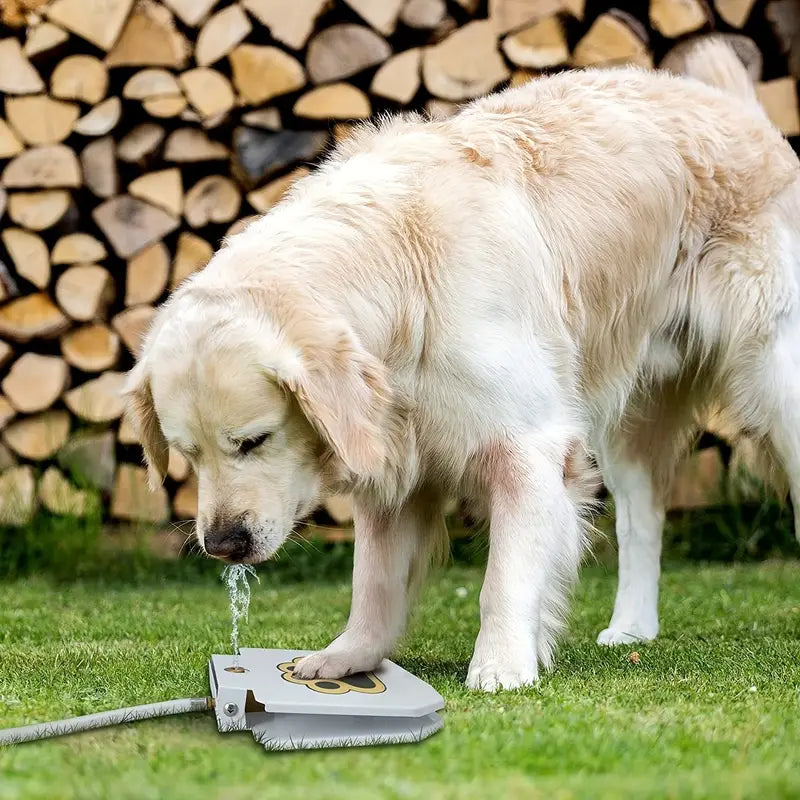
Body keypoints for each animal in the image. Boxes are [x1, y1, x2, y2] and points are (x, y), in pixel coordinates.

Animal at [128, 43, 800, 692]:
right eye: (186, 455)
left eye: (255, 441)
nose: (223, 545)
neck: (400, 270)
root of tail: (741, 109)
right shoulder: (393, 456)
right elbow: (373, 580)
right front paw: (349, 657)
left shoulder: (527, 445)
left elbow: (503, 576)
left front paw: (501, 666)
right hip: (626, 418)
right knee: (642, 519)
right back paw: (632, 628)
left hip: (776, 382)